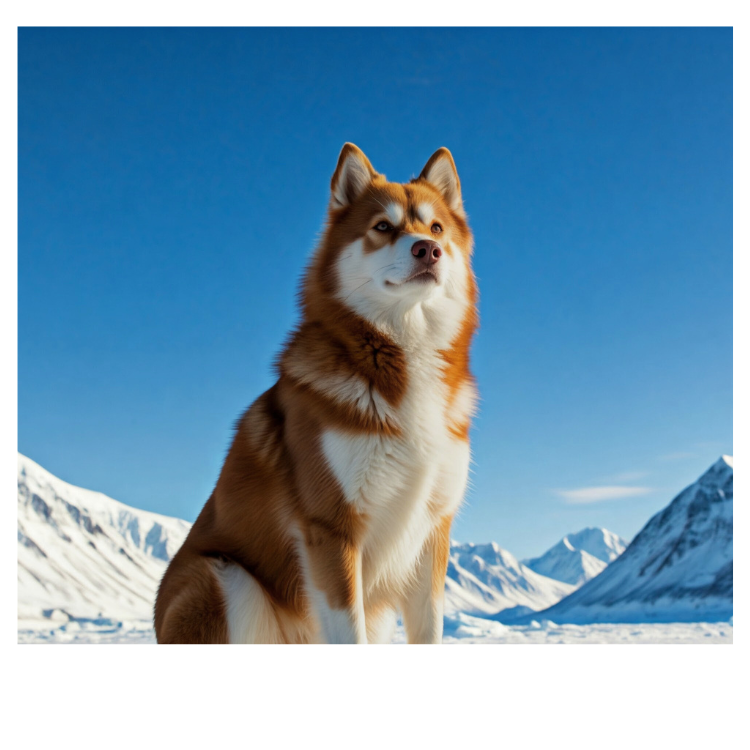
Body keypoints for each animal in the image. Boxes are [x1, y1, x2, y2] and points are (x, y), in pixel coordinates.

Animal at [155, 147, 478, 648]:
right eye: (382, 227)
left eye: (437, 227)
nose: (428, 249)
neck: (406, 354)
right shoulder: (332, 529)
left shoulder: (431, 532)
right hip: (222, 577)